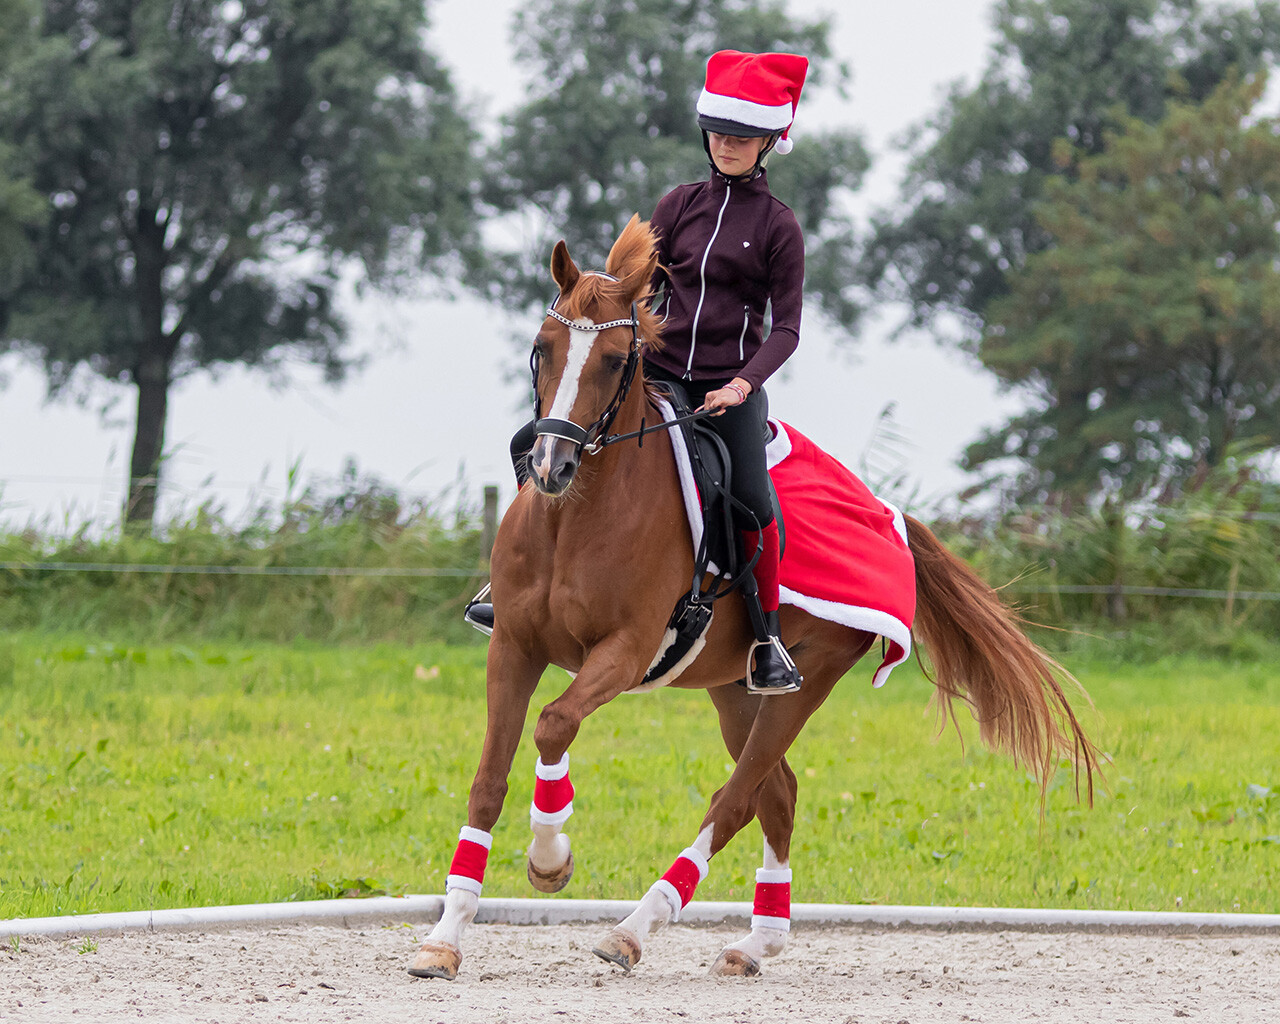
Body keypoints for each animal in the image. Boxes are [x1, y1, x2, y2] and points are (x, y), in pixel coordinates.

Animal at [412, 217, 1100, 983]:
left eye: (617, 358)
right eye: (542, 347)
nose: (551, 466)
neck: (576, 518)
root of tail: (887, 513)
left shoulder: (623, 652)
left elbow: (555, 724)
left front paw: (549, 858)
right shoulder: (514, 645)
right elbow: (489, 779)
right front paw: (445, 937)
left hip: (806, 678)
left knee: (738, 799)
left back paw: (634, 930)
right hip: (734, 691)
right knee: (779, 793)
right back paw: (755, 943)